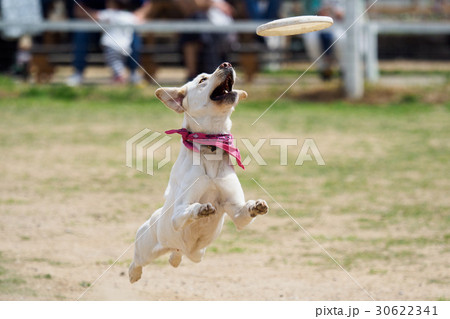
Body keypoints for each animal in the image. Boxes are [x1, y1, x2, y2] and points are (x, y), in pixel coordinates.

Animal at [127, 62, 268, 284]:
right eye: (202, 79)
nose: (226, 64)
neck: (211, 145)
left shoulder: (237, 213)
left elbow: (245, 211)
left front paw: (257, 205)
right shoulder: (178, 214)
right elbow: (189, 210)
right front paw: (201, 209)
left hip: (197, 255)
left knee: (178, 254)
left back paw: (174, 258)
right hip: (146, 247)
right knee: (137, 260)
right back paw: (134, 274)